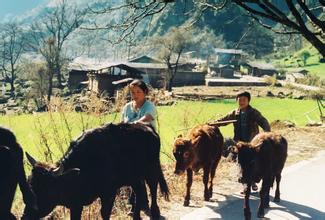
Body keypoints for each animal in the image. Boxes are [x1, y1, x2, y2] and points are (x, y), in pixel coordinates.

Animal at [23, 123, 168, 219]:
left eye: (45, 189)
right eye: (30, 184)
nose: (25, 216)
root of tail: (147, 127)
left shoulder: (109, 193)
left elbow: (104, 213)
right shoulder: (76, 204)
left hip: (151, 170)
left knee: (153, 187)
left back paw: (155, 212)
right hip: (135, 177)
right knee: (139, 191)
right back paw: (135, 215)